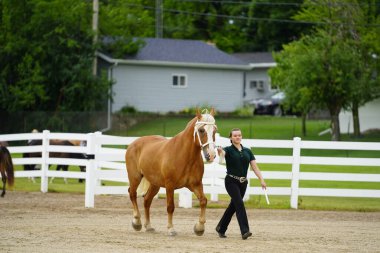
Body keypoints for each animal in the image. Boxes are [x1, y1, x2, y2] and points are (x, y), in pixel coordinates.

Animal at [125, 107, 217, 236]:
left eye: (214, 130)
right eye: (201, 130)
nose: (211, 155)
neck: (185, 155)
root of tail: (133, 143)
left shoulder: (196, 184)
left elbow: (203, 201)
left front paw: (199, 228)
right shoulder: (170, 185)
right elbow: (170, 206)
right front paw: (171, 229)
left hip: (155, 184)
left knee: (147, 200)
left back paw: (149, 226)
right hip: (135, 177)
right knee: (132, 194)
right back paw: (137, 222)